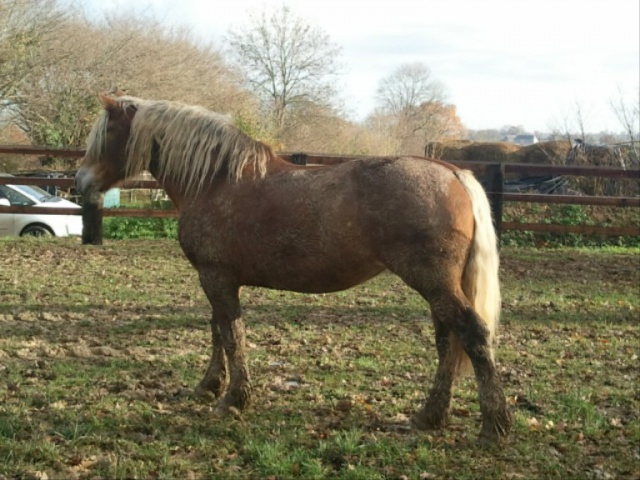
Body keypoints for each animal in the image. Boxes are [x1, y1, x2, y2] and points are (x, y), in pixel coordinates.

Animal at [75, 92, 512, 444]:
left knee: (471, 333)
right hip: (440, 286)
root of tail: (453, 173)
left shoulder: (216, 277)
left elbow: (230, 334)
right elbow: (218, 330)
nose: (81, 182)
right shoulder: (217, 279)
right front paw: (211, 386)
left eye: (106, 134)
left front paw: (233, 398)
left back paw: (494, 425)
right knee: (448, 340)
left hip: (434, 282)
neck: (215, 181)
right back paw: (430, 416)